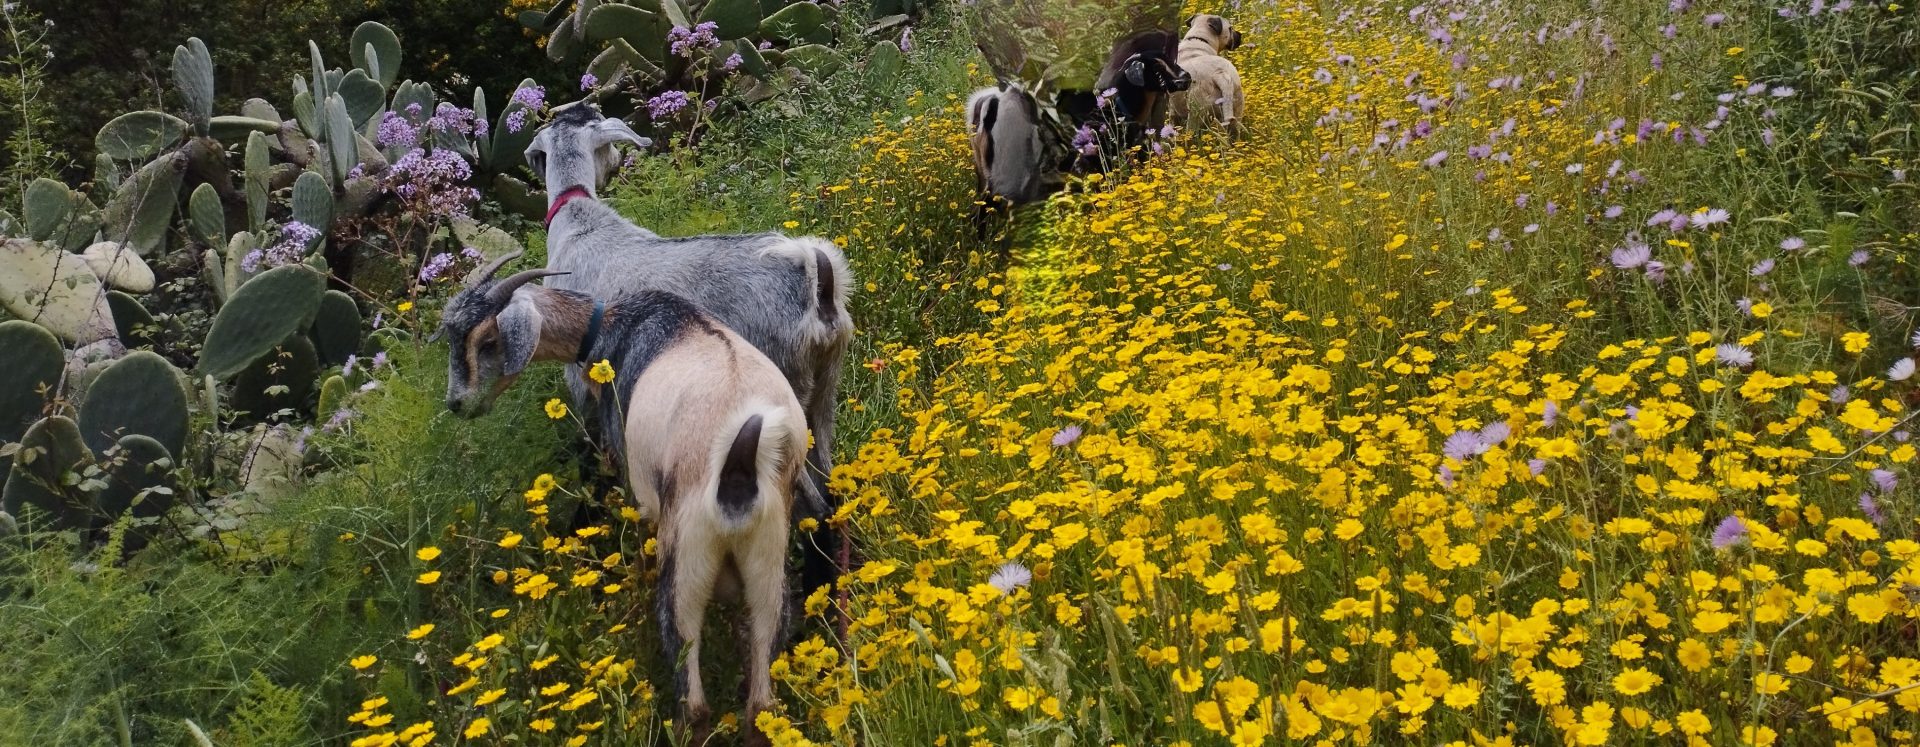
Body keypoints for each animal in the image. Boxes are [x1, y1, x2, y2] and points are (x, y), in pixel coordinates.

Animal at [440, 253, 805, 747]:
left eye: (489, 340)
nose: (457, 404)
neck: (614, 325)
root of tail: (741, 462)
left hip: (686, 553)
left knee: (693, 696)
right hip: (768, 555)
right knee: (761, 705)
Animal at [524, 103, 853, 600]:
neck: (580, 222)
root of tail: (818, 286)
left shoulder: (586, 386)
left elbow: (593, 460)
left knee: (813, 511)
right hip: (823, 395)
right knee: (830, 490)